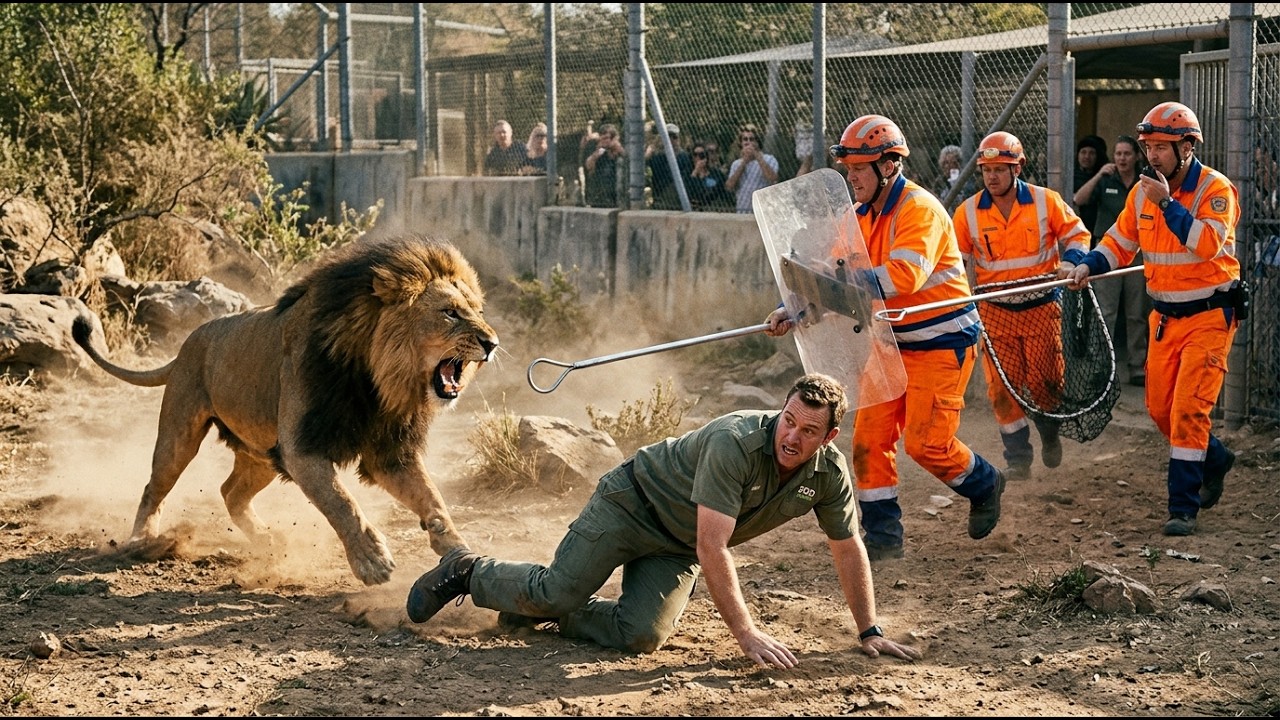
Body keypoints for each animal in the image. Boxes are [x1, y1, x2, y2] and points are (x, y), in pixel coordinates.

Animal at [71, 234, 499, 586]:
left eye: (477, 311)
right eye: (450, 312)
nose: (492, 343)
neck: (375, 380)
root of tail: (186, 344)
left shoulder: (390, 453)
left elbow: (433, 500)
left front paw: (458, 550)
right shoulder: (300, 449)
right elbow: (341, 503)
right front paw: (372, 561)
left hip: (262, 454)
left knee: (230, 492)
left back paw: (267, 540)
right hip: (182, 434)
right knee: (155, 486)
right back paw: (143, 539)